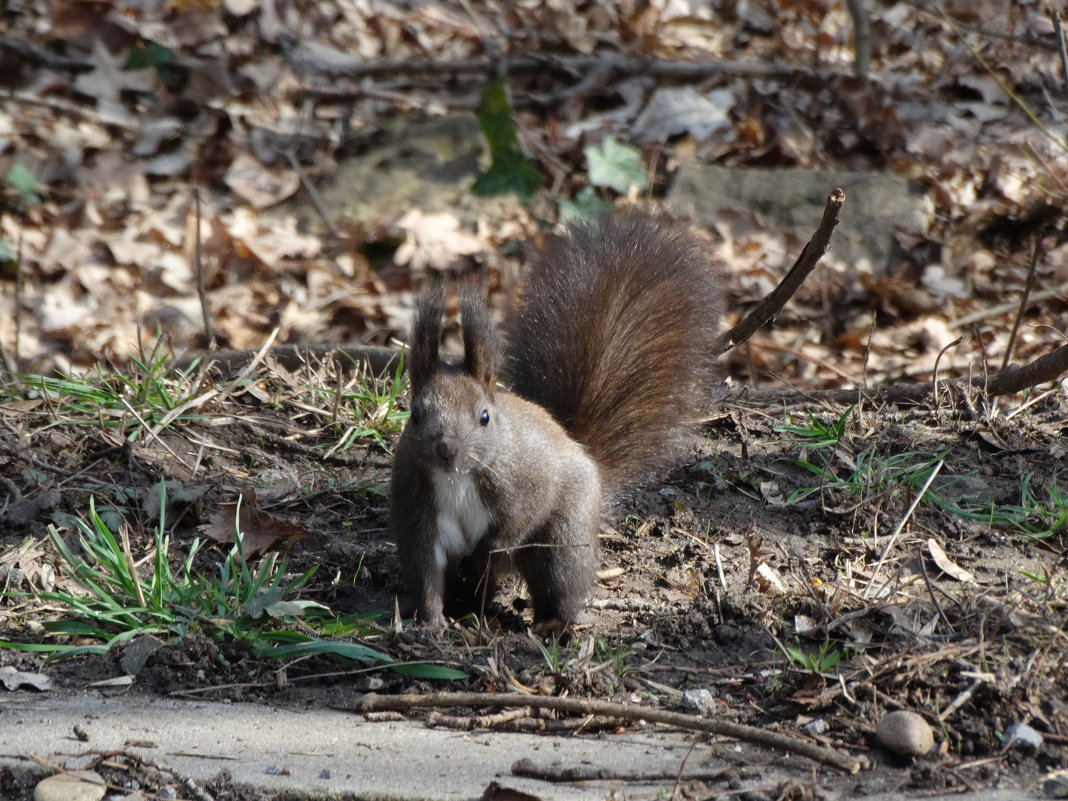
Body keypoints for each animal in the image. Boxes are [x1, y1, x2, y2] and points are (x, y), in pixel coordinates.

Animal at [393, 210, 726, 632]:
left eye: (484, 417)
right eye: (415, 414)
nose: (446, 450)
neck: (456, 479)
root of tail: (580, 449)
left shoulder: (526, 478)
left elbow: (523, 513)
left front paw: (487, 552)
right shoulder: (417, 509)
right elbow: (425, 572)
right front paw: (430, 622)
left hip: (562, 539)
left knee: (558, 581)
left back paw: (550, 623)